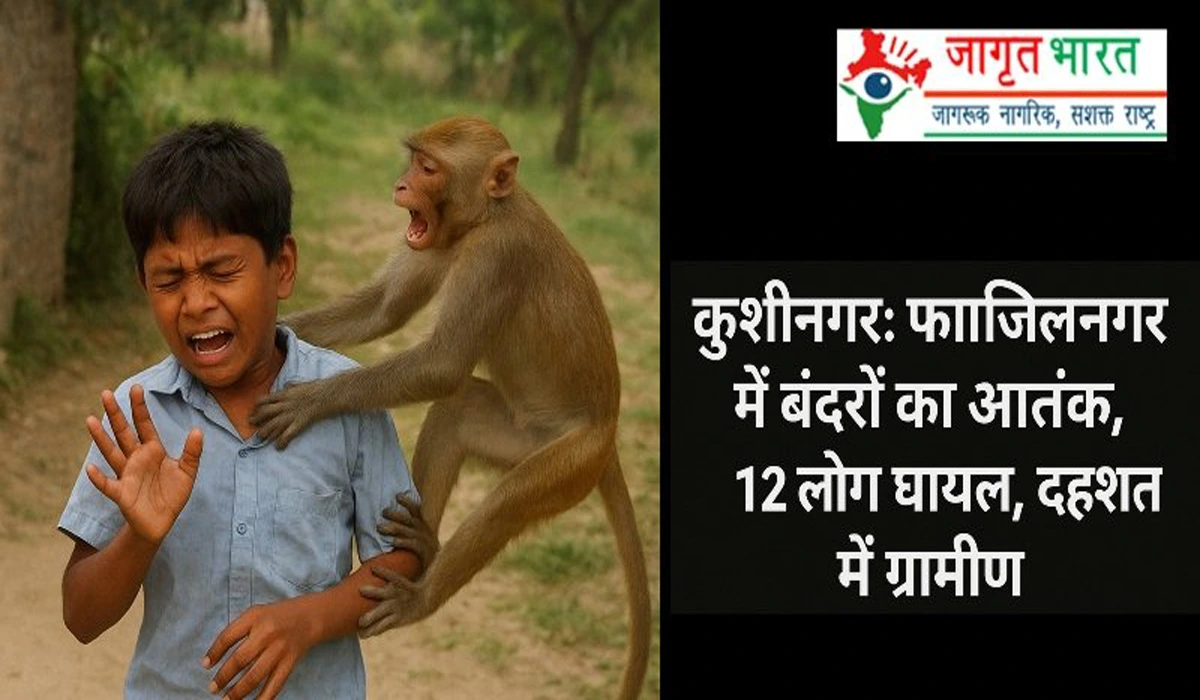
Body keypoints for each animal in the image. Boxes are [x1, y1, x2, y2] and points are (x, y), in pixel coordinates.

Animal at [250, 116, 650, 700]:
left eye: (428, 168)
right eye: (415, 161)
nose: (400, 185)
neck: (487, 215)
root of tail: (610, 430)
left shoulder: (493, 258)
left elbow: (440, 366)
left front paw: (309, 400)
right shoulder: (441, 240)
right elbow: (384, 311)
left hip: (572, 460)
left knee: (509, 499)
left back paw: (420, 595)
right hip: (524, 436)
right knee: (459, 411)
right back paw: (420, 544)